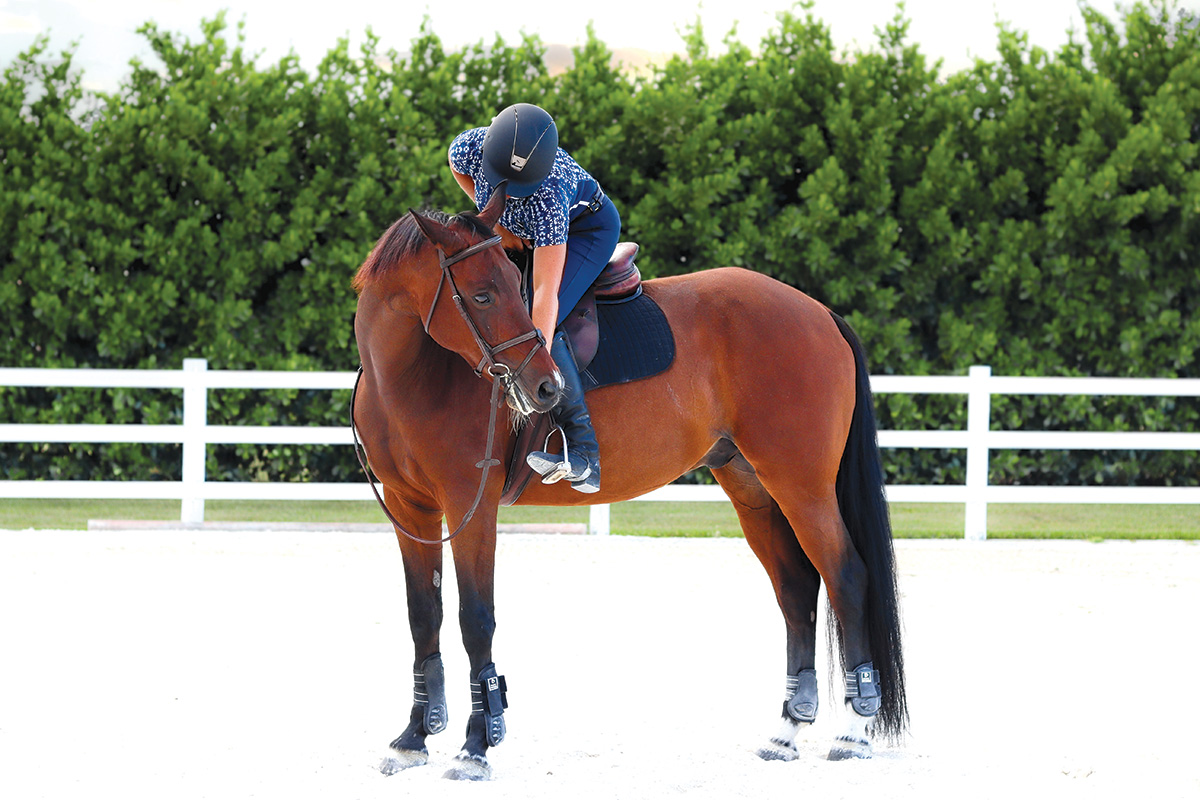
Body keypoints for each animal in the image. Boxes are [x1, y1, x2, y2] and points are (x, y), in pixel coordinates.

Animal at [350, 189, 902, 782]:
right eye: (480, 294)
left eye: (511, 288)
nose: (546, 387)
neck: (410, 374)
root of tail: (819, 312)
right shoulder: (412, 510)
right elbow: (422, 616)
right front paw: (414, 737)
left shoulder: (469, 507)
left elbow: (476, 619)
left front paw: (477, 744)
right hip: (753, 489)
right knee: (797, 588)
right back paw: (787, 730)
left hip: (803, 488)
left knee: (846, 577)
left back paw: (853, 730)